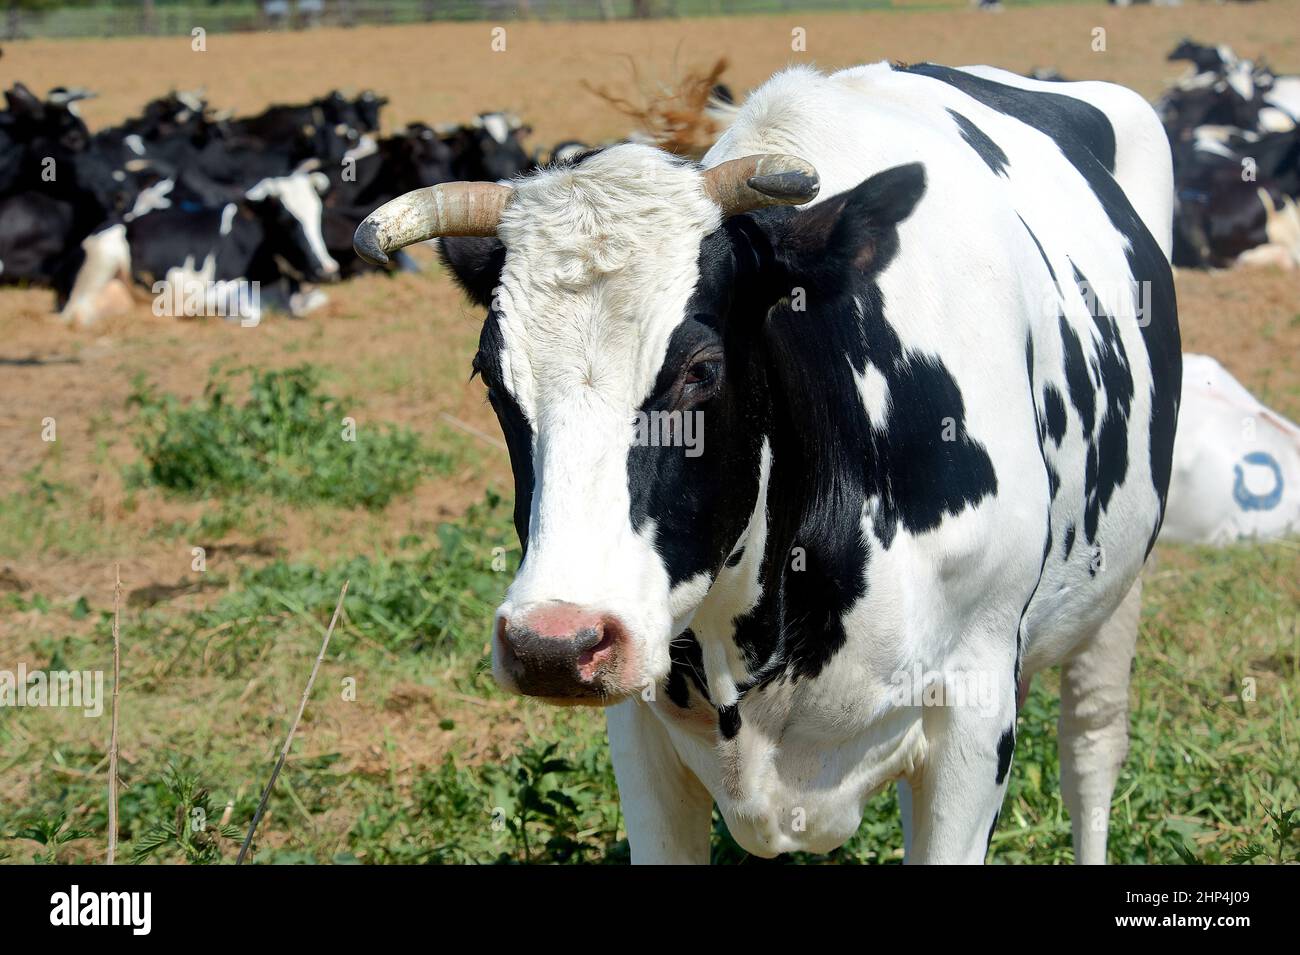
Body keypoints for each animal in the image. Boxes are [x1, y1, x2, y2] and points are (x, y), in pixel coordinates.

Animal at [355, 61, 1181, 864]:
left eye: (702, 369)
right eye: (490, 374)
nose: (553, 643)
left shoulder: (975, 714)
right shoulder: (640, 730)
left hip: (1117, 593)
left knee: (1091, 754)